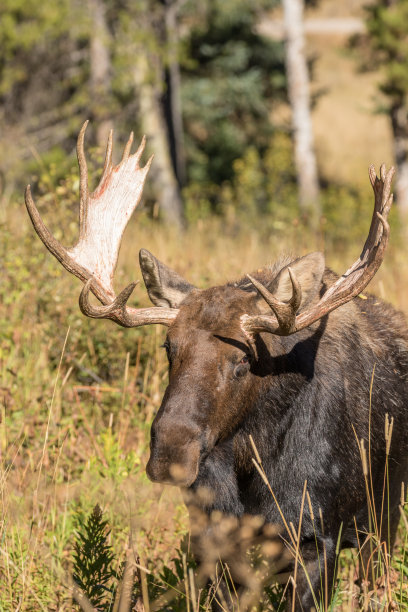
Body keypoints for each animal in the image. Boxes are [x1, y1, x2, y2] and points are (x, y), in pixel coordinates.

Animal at [25, 122, 408, 608]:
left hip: (383, 517)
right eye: (169, 346)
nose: (171, 451)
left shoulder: (318, 538)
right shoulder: (214, 535)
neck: (253, 464)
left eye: (245, 358)